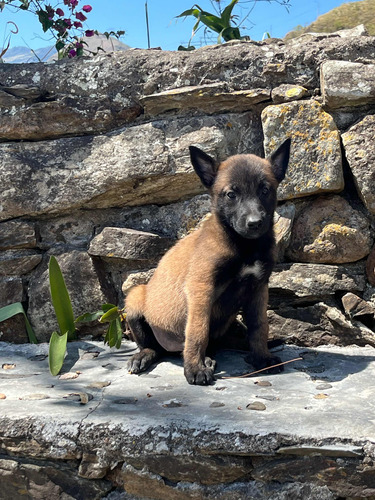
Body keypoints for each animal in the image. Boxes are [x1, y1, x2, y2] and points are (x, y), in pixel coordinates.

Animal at [125, 141, 290, 386]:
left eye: (265, 190)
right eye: (231, 194)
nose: (255, 223)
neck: (245, 246)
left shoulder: (258, 288)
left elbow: (259, 327)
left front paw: (262, 358)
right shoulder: (201, 288)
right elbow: (197, 331)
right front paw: (195, 368)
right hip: (136, 296)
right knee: (153, 346)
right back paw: (146, 355)